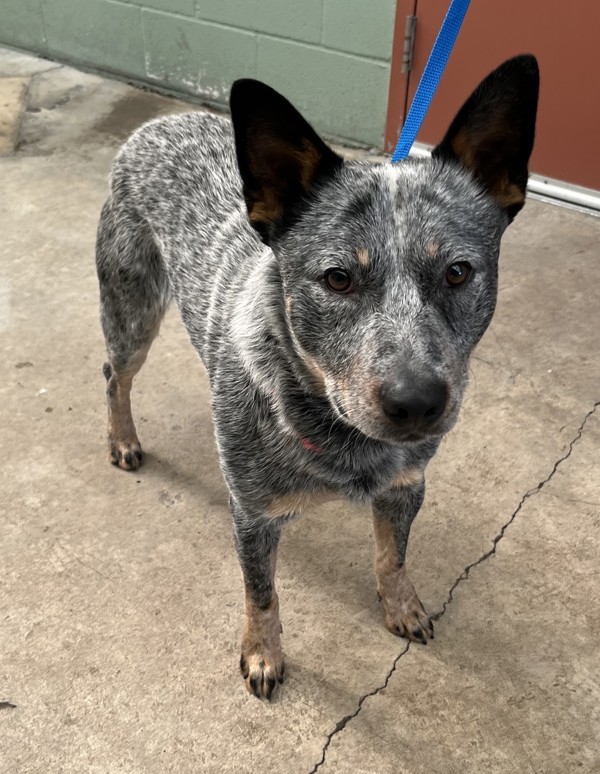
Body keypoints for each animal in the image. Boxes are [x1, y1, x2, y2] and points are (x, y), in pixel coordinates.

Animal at [97, 57, 540, 704]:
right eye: (337, 278)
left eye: (458, 272)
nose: (418, 403)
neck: (335, 430)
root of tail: (161, 122)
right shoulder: (252, 516)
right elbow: (262, 595)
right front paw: (263, 655)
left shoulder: (406, 484)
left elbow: (392, 558)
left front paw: (401, 606)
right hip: (132, 308)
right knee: (115, 373)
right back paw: (123, 439)